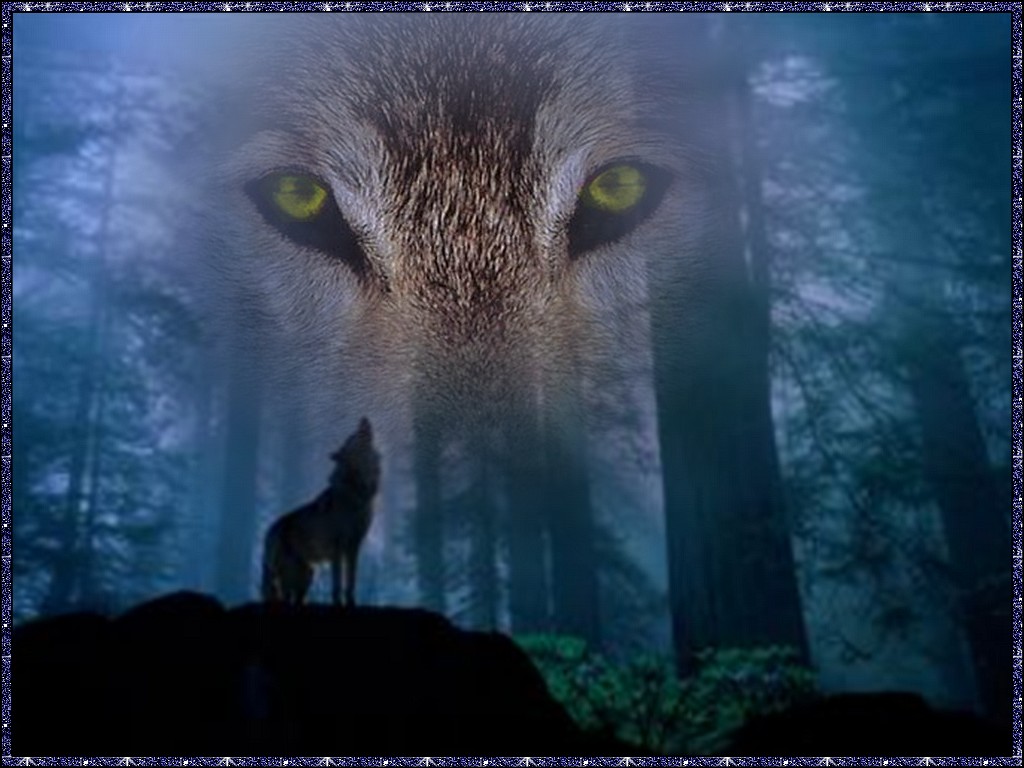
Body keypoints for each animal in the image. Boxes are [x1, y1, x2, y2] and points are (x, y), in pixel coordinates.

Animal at [261, 418, 381, 606]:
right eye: (353, 436)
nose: (363, 419)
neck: (356, 493)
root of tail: (269, 532)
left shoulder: (354, 547)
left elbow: (351, 581)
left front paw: (351, 602)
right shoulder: (337, 549)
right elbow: (337, 583)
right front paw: (338, 603)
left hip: (307, 575)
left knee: (296, 599)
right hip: (291, 576)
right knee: (285, 598)